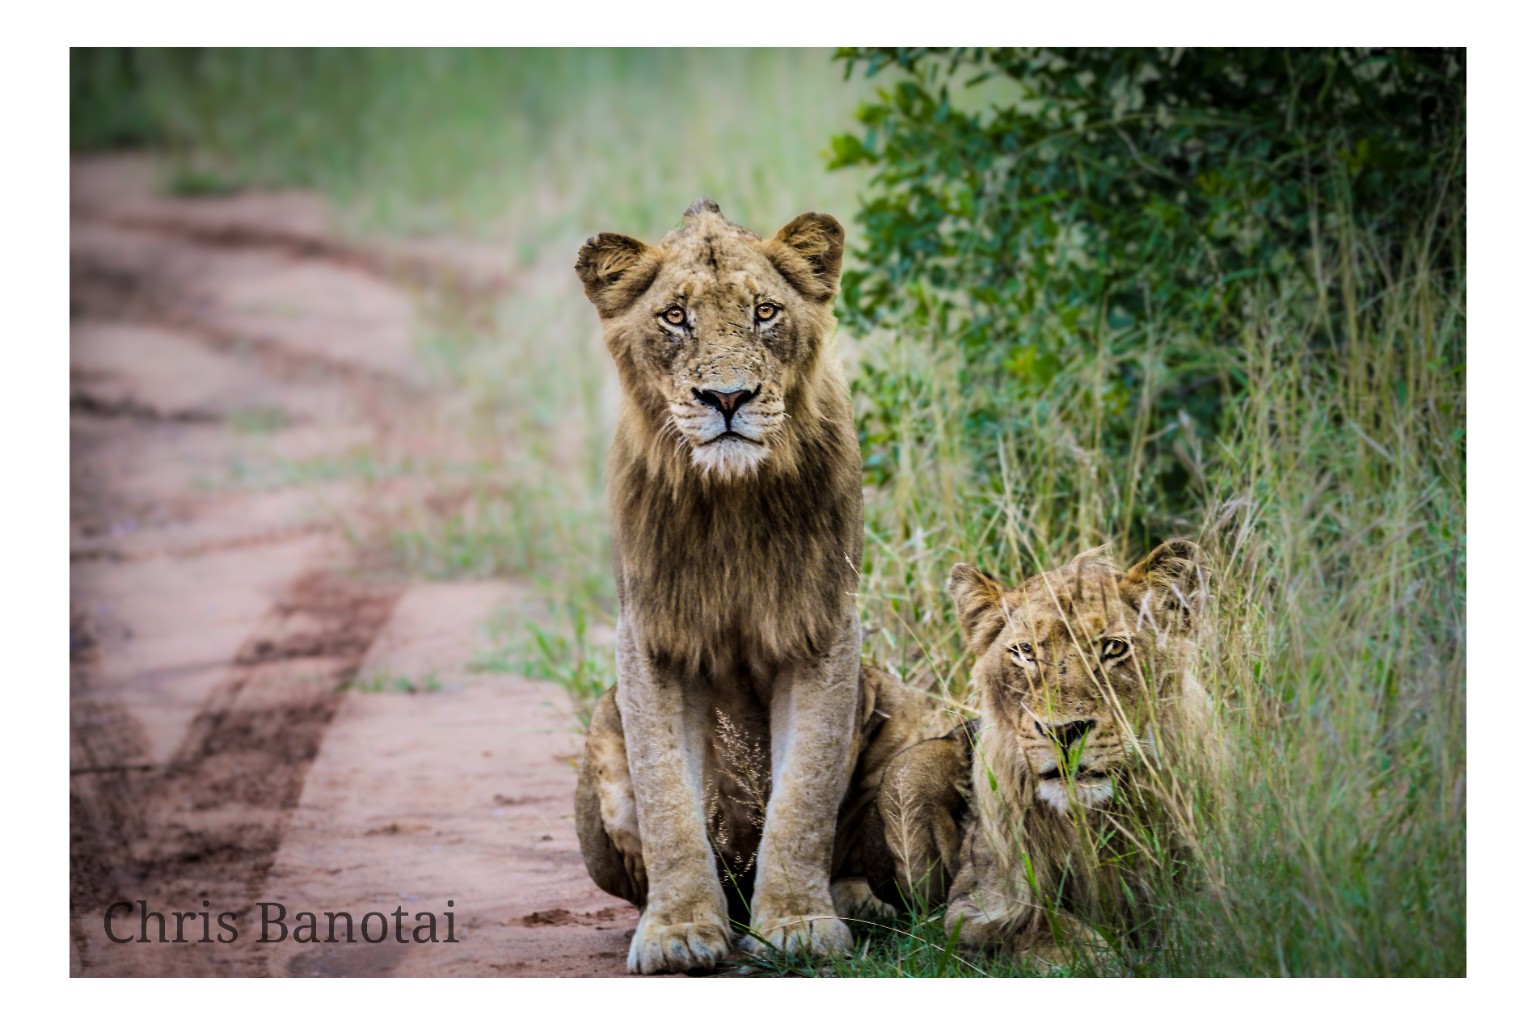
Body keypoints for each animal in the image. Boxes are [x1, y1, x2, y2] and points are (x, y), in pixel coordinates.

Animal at [571, 199, 901, 974]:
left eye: (764, 311)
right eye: (674, 317)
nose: (727, 398)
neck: (730, 498)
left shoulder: (822, 624)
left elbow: (805, 792)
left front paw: (800, 923)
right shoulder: (652, 634)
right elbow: (667, 798)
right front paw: (679, 931)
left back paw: (858, 903)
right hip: (601, 726)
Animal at [864, 541, 1215, 965]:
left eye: (1113, 648)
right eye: (1025, 651)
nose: (1062, 731)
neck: (1092, 822)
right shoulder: (977, 906)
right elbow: (1065, 935)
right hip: (908, 772)